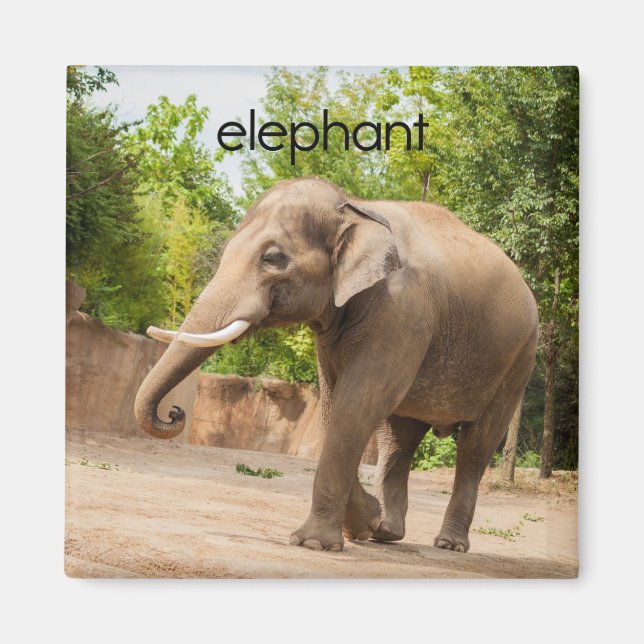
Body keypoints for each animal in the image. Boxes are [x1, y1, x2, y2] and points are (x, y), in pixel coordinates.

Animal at [135, 177, 538, 553]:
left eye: (273, 258)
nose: (174, 412)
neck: (356, 208)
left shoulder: (402, 309)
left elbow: (358, 402)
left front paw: (313, 543)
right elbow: (334, 405)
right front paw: (364, 525)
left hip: (520, 357)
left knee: (476, 444)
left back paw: (449, 545)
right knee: (398, 439)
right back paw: (387, 532)